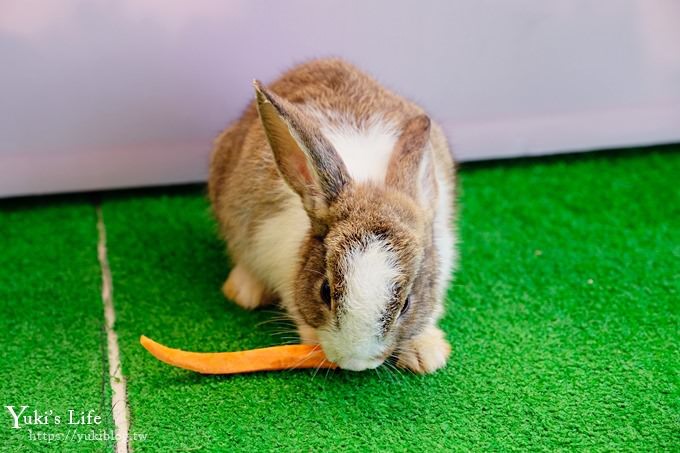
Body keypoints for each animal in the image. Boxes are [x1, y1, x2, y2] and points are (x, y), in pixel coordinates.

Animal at [207, 58, 456, 372]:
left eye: (406, 304)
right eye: (325, 291)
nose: (355, 362)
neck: (369, 185)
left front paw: (427, 355)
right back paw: (244, 291)